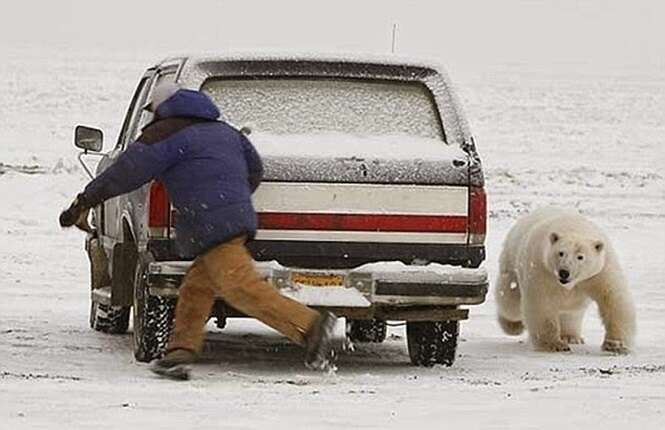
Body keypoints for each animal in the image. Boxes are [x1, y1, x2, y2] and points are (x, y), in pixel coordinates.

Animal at [496, 207, 636, 352]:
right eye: (561, 253)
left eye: (580, 257)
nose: (564, 272)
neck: (573, 227)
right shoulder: (542, 268)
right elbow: (541, 303)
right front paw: (554, 345)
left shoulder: (600, 271)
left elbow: (614, 299)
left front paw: (615, 344)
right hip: (511, 263)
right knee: (510, 301)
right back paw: (513, 326)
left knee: (571, 312)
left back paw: (571, 337)